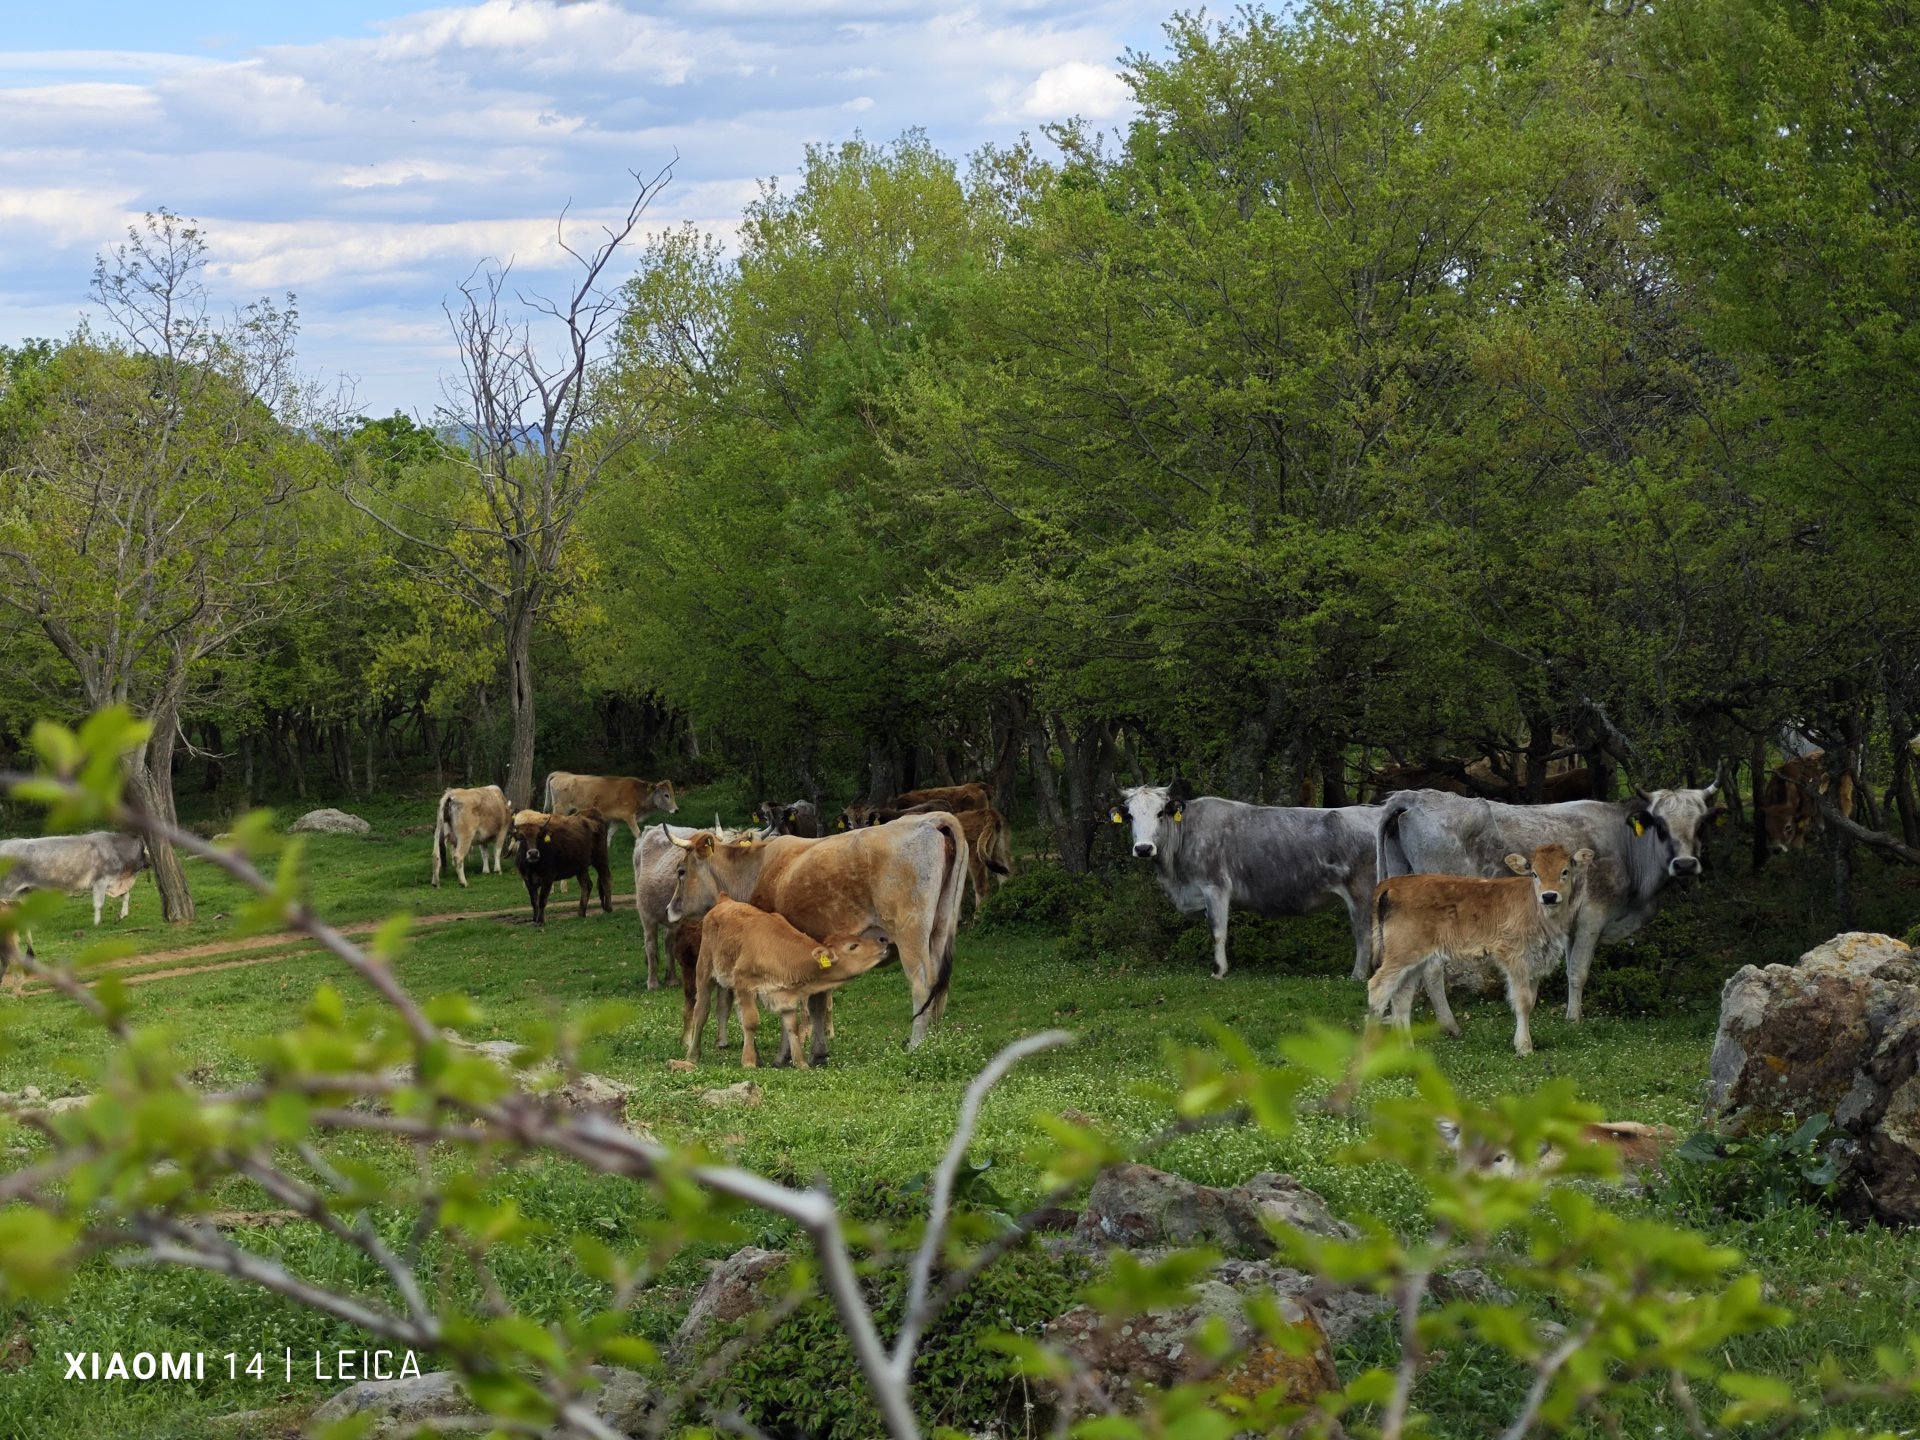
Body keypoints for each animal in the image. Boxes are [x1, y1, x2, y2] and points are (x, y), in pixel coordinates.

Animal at [0, 829, 145, 929]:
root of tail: (6, 842)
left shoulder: (116, 881)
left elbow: (126, 895)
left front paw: (122, 915)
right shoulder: (100, 880)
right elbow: (99, 904)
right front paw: (97, 923)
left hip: (24, 890)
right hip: (6, 888)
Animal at [683, 902, 890, 1075]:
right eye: (853, 946)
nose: (882, 940)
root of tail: (723, 902)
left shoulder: (785, 996)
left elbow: (792, 1028)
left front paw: (801, 1063)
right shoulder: (744, 983)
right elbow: (751, 1022)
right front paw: (748, 1062)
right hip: (704, 971)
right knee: (701, 1011)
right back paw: (693, 1055)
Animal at [1121, 783, 1390, 990]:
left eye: (1160, 813)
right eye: (1131, 816)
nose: (1143, 848)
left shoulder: (1215, 886)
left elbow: (1218, 931)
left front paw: (1219, 972)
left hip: (1361, 892)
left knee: (1364, 933)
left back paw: (1357, 975)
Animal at [1374, 844, 1597, 1059]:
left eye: (1565, 871)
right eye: (1535, 873)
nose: (1549, 896)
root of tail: (1392, 884)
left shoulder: (1534, 963)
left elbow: (1531, 1000)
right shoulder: (1515, 959)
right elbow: (1523, 1002)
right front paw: (1524, 1047)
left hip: (1414, 961)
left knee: (1402, 998)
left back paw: (1407, 1050)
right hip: (1400, 955)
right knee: (1378, 989)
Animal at [1382, 783, 1728, 1029]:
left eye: (1700, 825)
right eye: (1660, 825)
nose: (1685, 864)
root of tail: (1415, 796)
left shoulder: (1571, 924)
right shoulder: (1592, 917)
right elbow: (1578, 972)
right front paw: (1573, 1019)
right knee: (1432, 968)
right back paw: (1450, 1026)